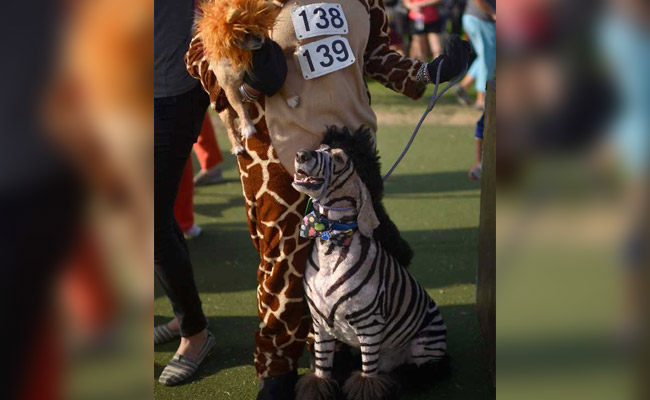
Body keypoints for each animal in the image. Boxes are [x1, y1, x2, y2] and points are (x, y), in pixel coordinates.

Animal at [292, 127, 442, 400]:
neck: (331, 241)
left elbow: (366, 381)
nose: (301, 154)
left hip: (424, 343)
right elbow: (320, 372)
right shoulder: (320, 325)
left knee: (430, 370)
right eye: (321, 146)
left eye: (340, 159)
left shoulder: (370, 327)